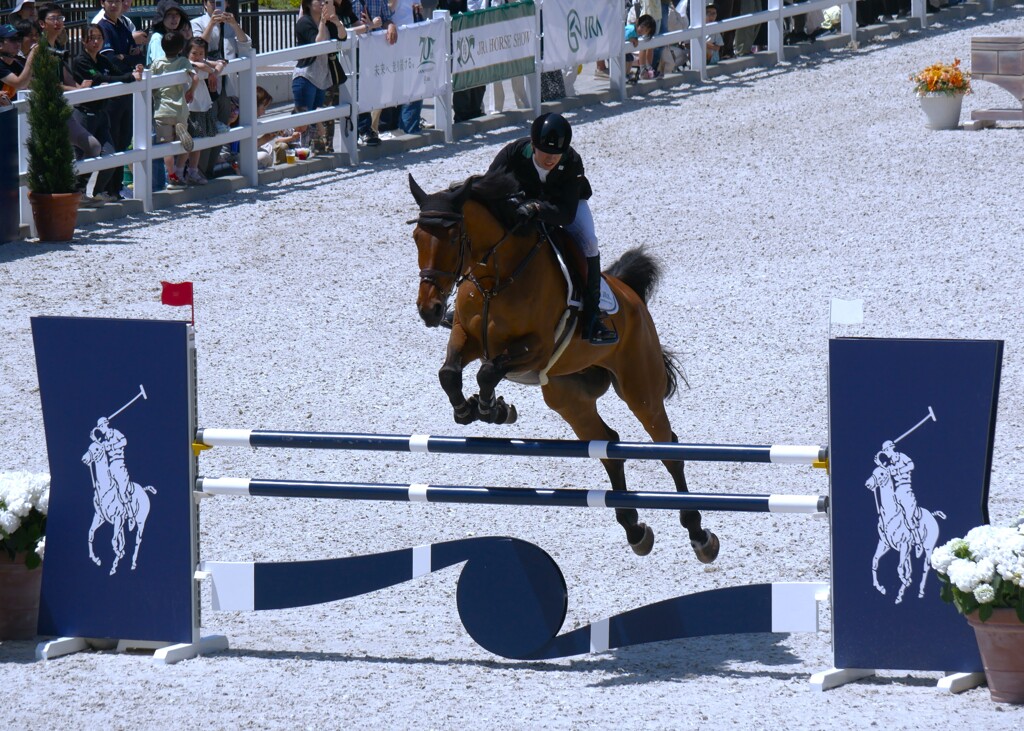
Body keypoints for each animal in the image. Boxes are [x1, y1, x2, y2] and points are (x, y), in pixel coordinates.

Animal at [407, 167, 720, 561]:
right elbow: (449, 373)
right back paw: (635, 530)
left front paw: (490, 409)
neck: (497, 278)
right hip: (568, 398)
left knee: (668, 448)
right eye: (417, 237)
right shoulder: (467, 336)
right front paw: (472, 410)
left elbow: (487, 371)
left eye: (452, 237)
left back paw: (698, 534)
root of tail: (630, 294)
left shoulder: (536, 347)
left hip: (640, 389)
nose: (429, 310)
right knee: (608, 446)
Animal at [864, 454, 942, 602]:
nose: (868, 484)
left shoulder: (903, 545)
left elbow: (900, 569)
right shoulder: (885, 544)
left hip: (928, 547)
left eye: (882, 473)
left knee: (925, 567)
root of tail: (932, 515)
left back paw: (920, 591)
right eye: (873, 472)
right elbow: (875, 561)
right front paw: (881, 588)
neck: (890, 513)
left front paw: (904, 585)